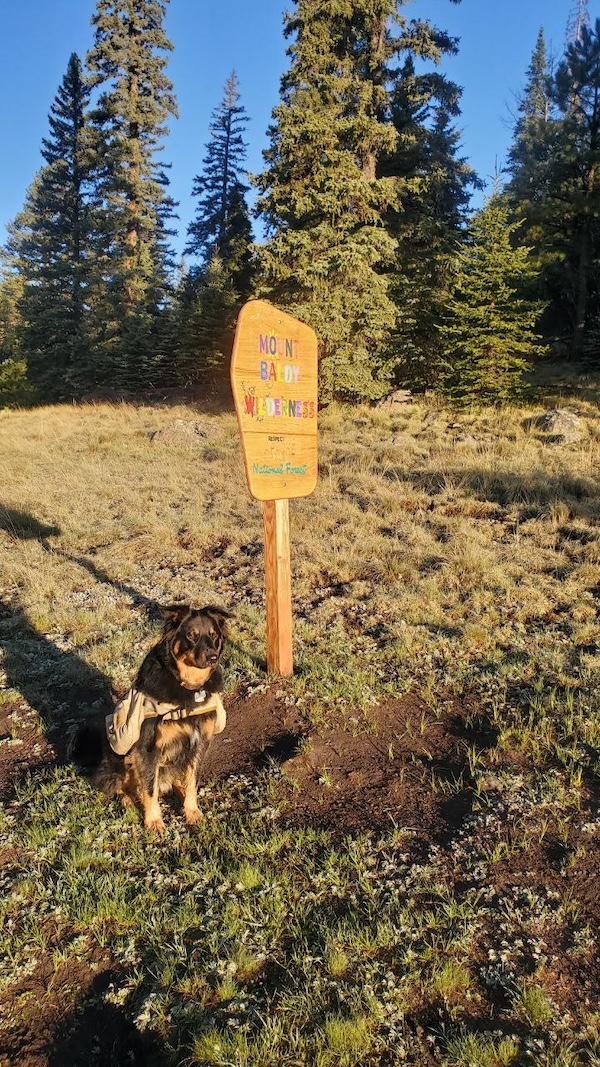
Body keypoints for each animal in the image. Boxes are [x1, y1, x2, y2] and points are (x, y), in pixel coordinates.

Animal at [68, 606, 229, 827]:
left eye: (214, 635)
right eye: (191, 635)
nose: (213, 657)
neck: (188, 687)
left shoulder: (199, 744)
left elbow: (192, 781)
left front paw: (192, 811)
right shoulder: (149, 747)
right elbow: (150, 789)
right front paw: (154, 822)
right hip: (118, 758)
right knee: (118, 785)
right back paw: (128, 802)